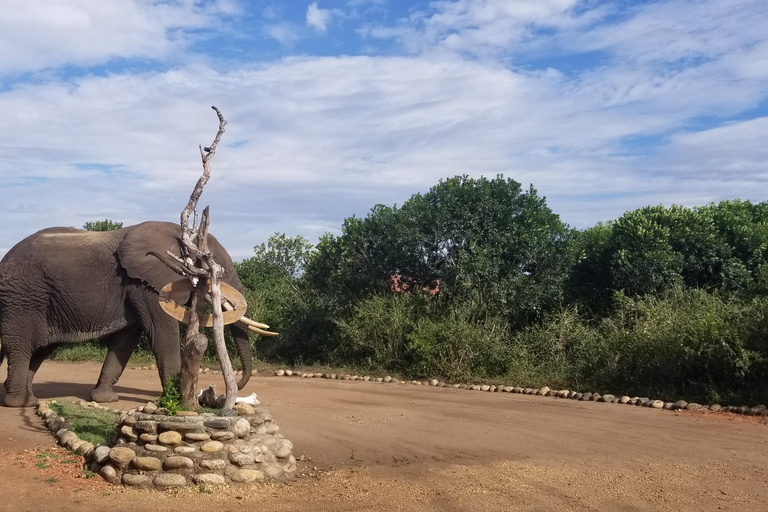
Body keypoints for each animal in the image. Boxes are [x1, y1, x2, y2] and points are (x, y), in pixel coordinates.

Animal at [0, 222, 254, 406]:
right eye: (212, 267)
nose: (221, 394)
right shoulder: (145, 285)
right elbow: (162, 333)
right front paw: (173, 400)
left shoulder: (135, 288)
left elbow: (125, 341)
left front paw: (105, 399)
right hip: (23, 300)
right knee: (21, 347)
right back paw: (20, 403)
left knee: (40, 350)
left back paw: (28, 399)